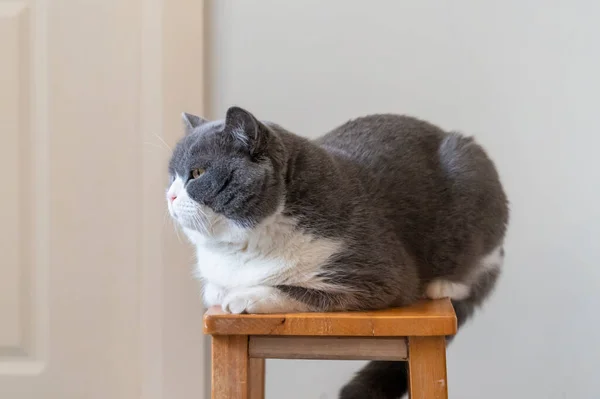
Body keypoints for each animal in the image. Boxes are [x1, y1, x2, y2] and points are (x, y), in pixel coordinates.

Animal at [166, 106, 508, 399]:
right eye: (172, 175)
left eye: (197, 173)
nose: (169, 195)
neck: (240, 250)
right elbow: (213, 289)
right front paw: (222, 290)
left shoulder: (379, 274)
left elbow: (299, 290)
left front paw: (247, 297)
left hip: (471, 181)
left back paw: (443, 285)